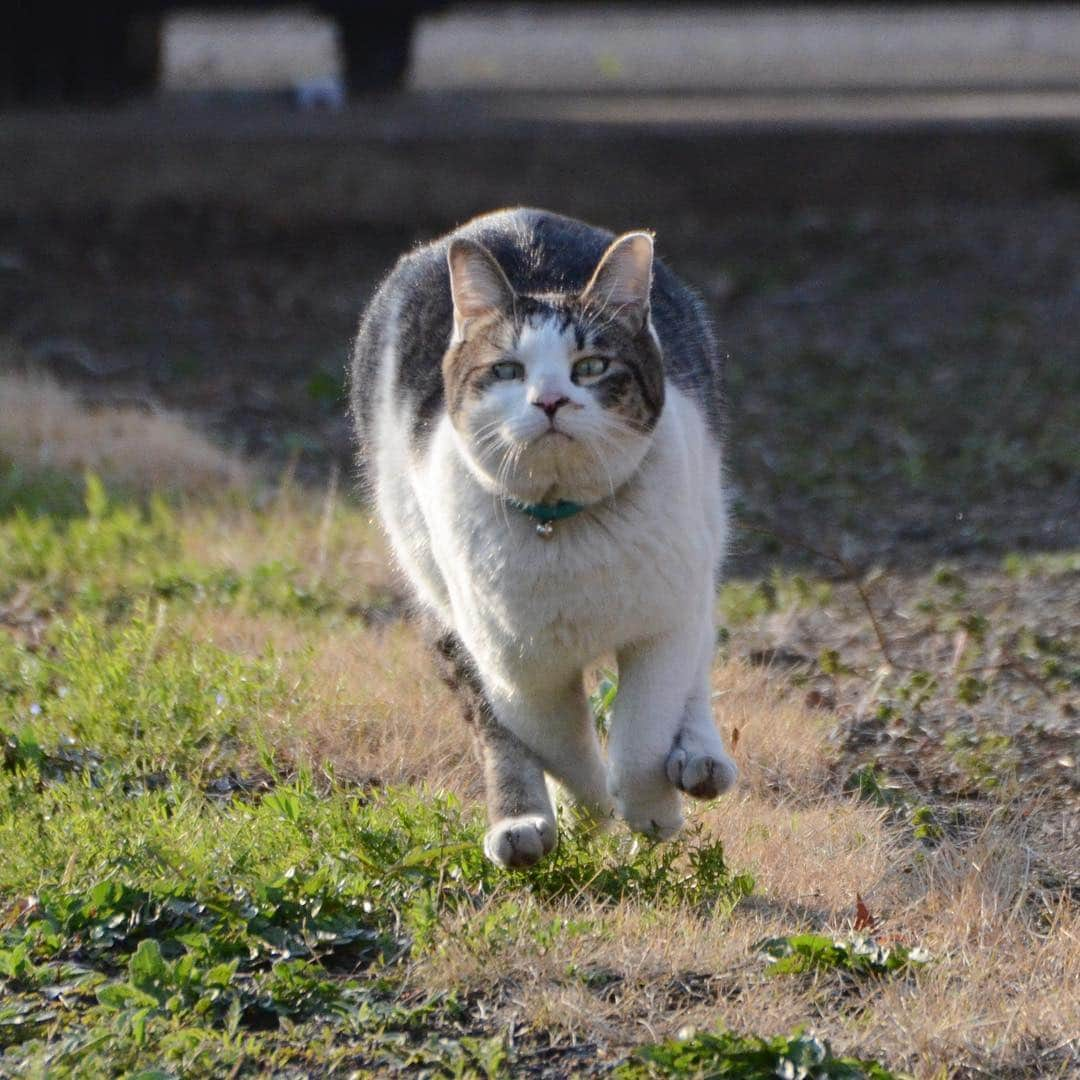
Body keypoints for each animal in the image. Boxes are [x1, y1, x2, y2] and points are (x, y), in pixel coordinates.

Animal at [349, 208, 738, 868]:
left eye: (592, 366)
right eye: (508, 370)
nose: (551, 400)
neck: (565, 522)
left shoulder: (662, 626)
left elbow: (641, 736)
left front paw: (652, 813)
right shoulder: (517, 667)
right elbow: (560, 746)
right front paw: (587, 812)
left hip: (702, 530)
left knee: (697, 656)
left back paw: (698, 756)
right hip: (434, 582)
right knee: (493, 725)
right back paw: (525, 823)